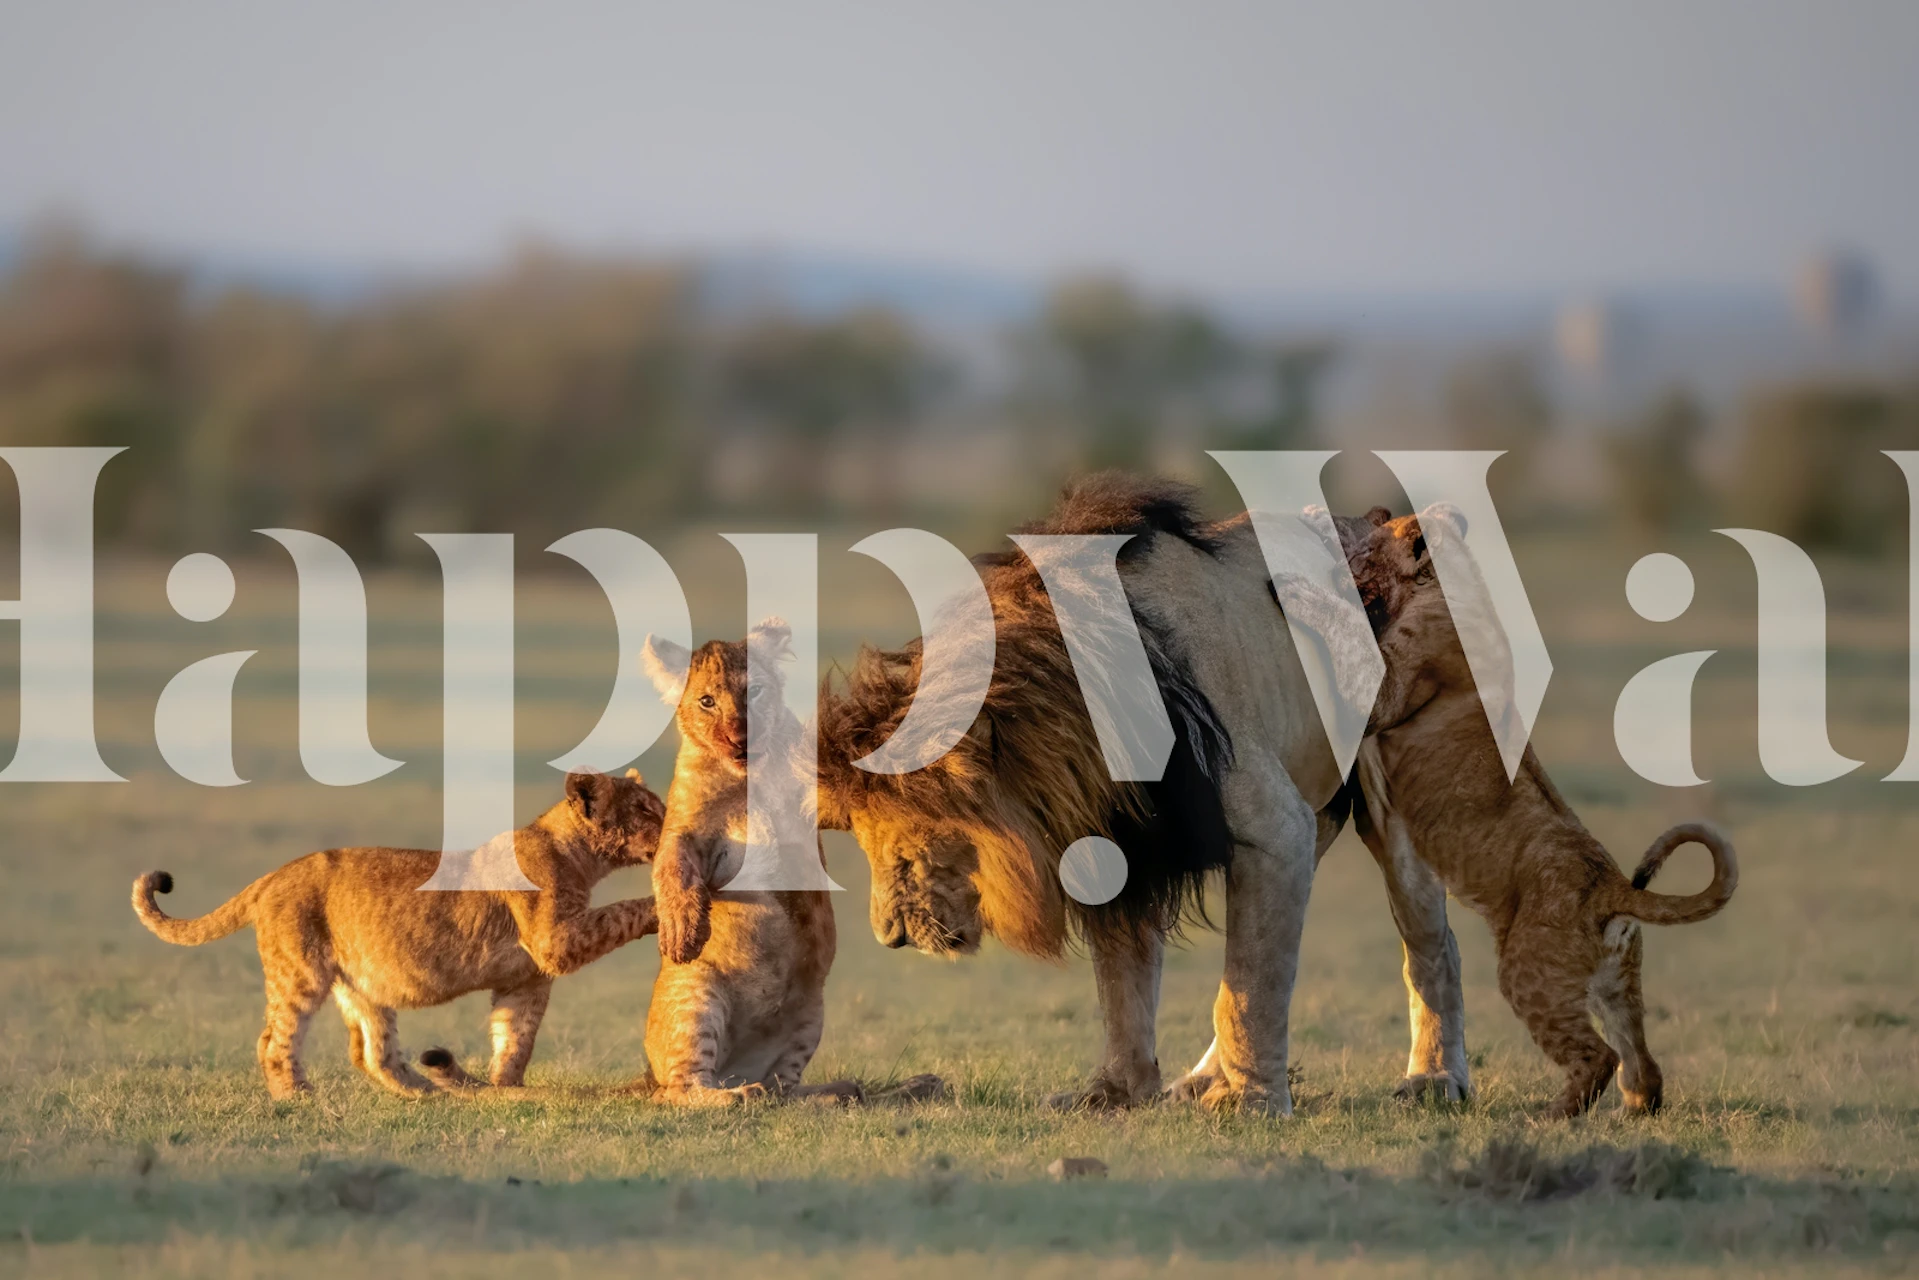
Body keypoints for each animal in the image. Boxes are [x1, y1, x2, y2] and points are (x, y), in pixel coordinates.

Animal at [132, 770, 665, 1099]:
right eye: (644, 810)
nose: (672, 823)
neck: (577, 856)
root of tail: (271, 876)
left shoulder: (527, 979)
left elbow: (515, 1038)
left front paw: (502, 1089)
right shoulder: (556, 943)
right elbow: (618, 914)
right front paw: (665, 905)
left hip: (362, 982)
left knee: (372, 1053)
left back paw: (430, 1094)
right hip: (299, 972)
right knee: (274, 1039)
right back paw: (296, 1097)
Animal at [1317, 506, 1737, 1116]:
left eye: (1368, 549)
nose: (1343, 552)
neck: (1453, 578)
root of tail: (1613, 888)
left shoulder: (1392, 686)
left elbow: (1352, 650)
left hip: (1528, 972)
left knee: (1597, 1056)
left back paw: (1553, 1116)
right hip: (1617, 983)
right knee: (1640, 1056)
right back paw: (1637, 1106)